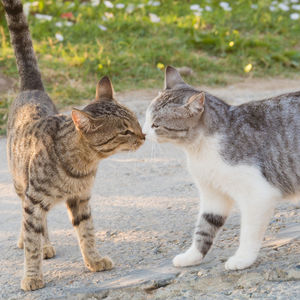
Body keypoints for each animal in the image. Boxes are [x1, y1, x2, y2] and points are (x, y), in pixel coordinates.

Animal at [2, 0, 145, 292]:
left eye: (136, 121)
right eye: (124, 131)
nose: (144, 135)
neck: (82, 165)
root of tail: (31, 88)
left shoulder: (81, 199)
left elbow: (87, 232)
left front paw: (93, 260)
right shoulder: (34, 199)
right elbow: (32, 243)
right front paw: (32, 276)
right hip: (21, 184)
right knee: (32, 223)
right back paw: (39, 243)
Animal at [144, 65, 300, 270]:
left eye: (156, 125)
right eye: (146, 118)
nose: (143, 132)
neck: (199, 149)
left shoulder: (258, 196)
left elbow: (248, 233)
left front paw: (242, 259)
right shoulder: (213, 195)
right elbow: (205, 227)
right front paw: (192, 256)